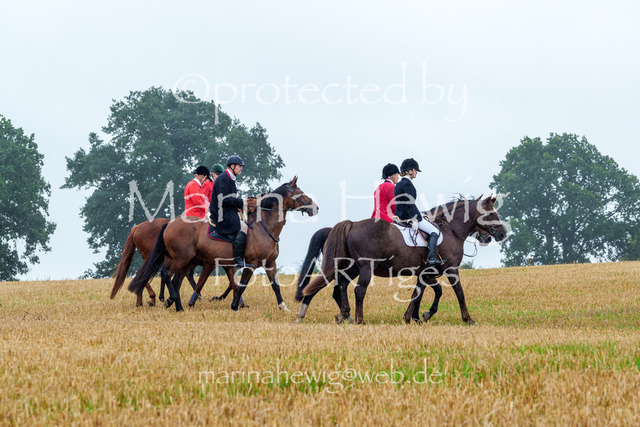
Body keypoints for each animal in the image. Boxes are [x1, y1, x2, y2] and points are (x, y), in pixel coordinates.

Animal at [128, 177, 318, 312]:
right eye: (299, 193)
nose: (316, 208)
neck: (263, 226)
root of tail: (169, 224)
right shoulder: (250, 264)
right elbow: (240, 285)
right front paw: (234, 305)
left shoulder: (269, 263)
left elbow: (275, 286)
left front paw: (283, 307)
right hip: (181, 259)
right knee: (166, 275)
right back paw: (174, 303)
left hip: (184, 261)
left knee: (174, 279)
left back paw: (174, 303)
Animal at [295, 196, 507, 325]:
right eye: (491, 213)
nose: (501, 234)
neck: (449, 229)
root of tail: (352, 224)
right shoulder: (451, 269)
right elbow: (459, 293)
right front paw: (467, 319)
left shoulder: (425, 273)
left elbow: (422, 292)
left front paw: (416, 316)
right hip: (364, 267)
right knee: (356, 290)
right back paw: (358, 319)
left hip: (351, 267)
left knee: (340, 286)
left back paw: (344, 315)